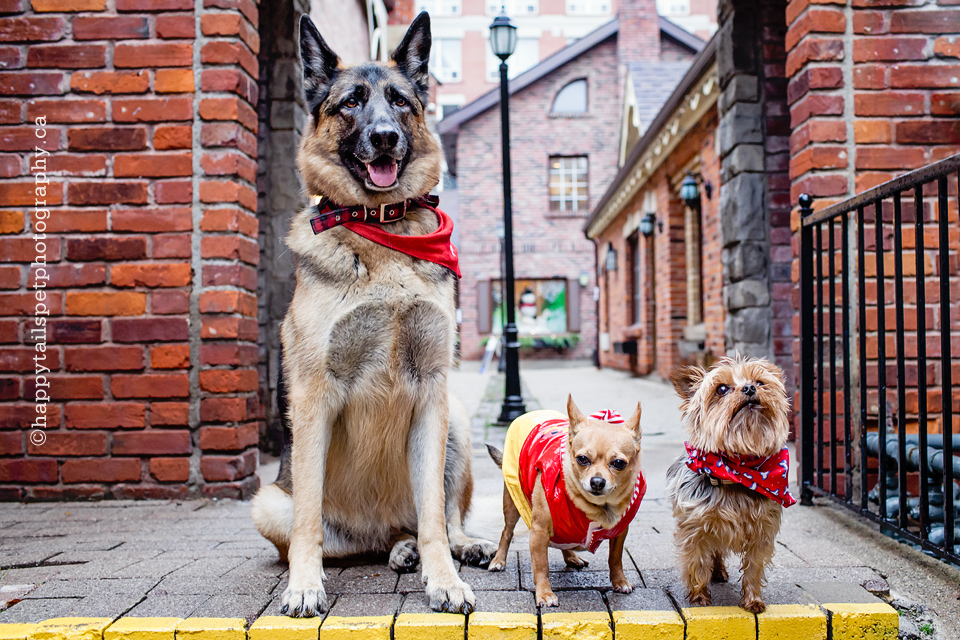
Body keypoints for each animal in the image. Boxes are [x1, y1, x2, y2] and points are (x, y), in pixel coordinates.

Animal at [249, 12, 496, 616]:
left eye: (400, 101)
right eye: (351, 102)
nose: (384, 137)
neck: (381, 230)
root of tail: (378, 527)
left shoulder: (432, 390)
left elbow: (433, 513)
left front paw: (444, 578)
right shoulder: (314, 395)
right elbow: (309, 518)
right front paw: (304, 584)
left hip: (455, 420)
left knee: (436, 517)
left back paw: (447, 547)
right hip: (267, 502)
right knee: (337, 535)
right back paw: (386, 550)